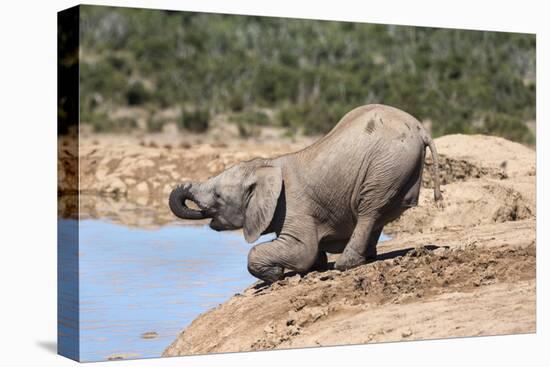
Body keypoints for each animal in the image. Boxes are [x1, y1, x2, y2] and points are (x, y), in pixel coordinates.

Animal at [168, 105, 444, 284]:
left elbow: (302, 250)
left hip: (386, 165)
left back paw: (346, 265)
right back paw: (365, 256)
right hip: (396, 168)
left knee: (369, 210)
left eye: (217, 196)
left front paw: (276, 275)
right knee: (378, 213)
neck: (265, 165)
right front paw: (315, 265)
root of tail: (420, 128)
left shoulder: (293, 205)